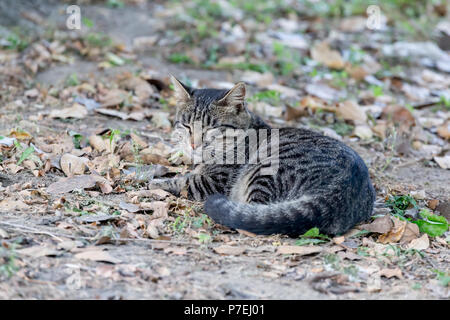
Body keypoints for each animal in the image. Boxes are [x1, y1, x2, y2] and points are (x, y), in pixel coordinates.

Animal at [149, 75, 378, 235]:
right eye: (186, 125)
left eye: (212, 128)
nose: (193, 144)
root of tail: (339, 189)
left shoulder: (213, 181)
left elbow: (180, 181)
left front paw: (150, 181)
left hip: (266, 169)